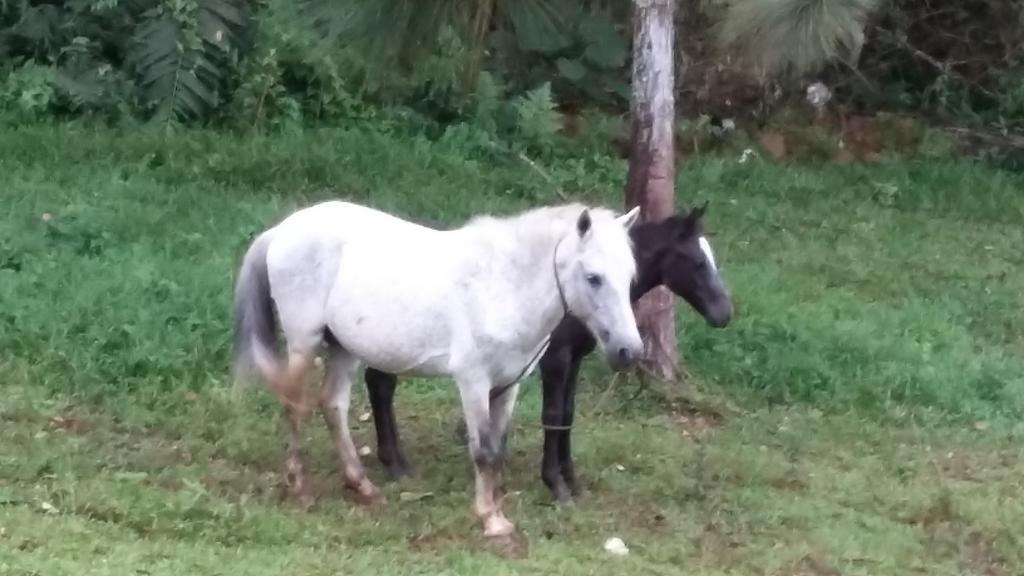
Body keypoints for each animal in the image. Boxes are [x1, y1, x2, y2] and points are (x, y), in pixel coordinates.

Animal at [235, 199, 643, 537]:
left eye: (629, 277)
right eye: (593, 277)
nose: (629, 351)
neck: (502, 286)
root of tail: (283, 230)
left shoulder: (508, 385)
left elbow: (498, 449)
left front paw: (496, 508)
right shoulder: (473, 382)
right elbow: (483, 452)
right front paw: (491, 521)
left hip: (344, 348)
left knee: (333, 405)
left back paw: (363, 487)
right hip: (303, 343)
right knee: (295, 407)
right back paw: (300, 488)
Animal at [364, 203, 733, 500]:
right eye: (697, 261)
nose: (724, 314)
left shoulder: (574, 358)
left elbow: (567, 414)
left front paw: (572, 480)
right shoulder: (555, 359)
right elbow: (553, 414)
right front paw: (554, 483)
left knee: (379, 384)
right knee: (381, 386)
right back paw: (396, 464)